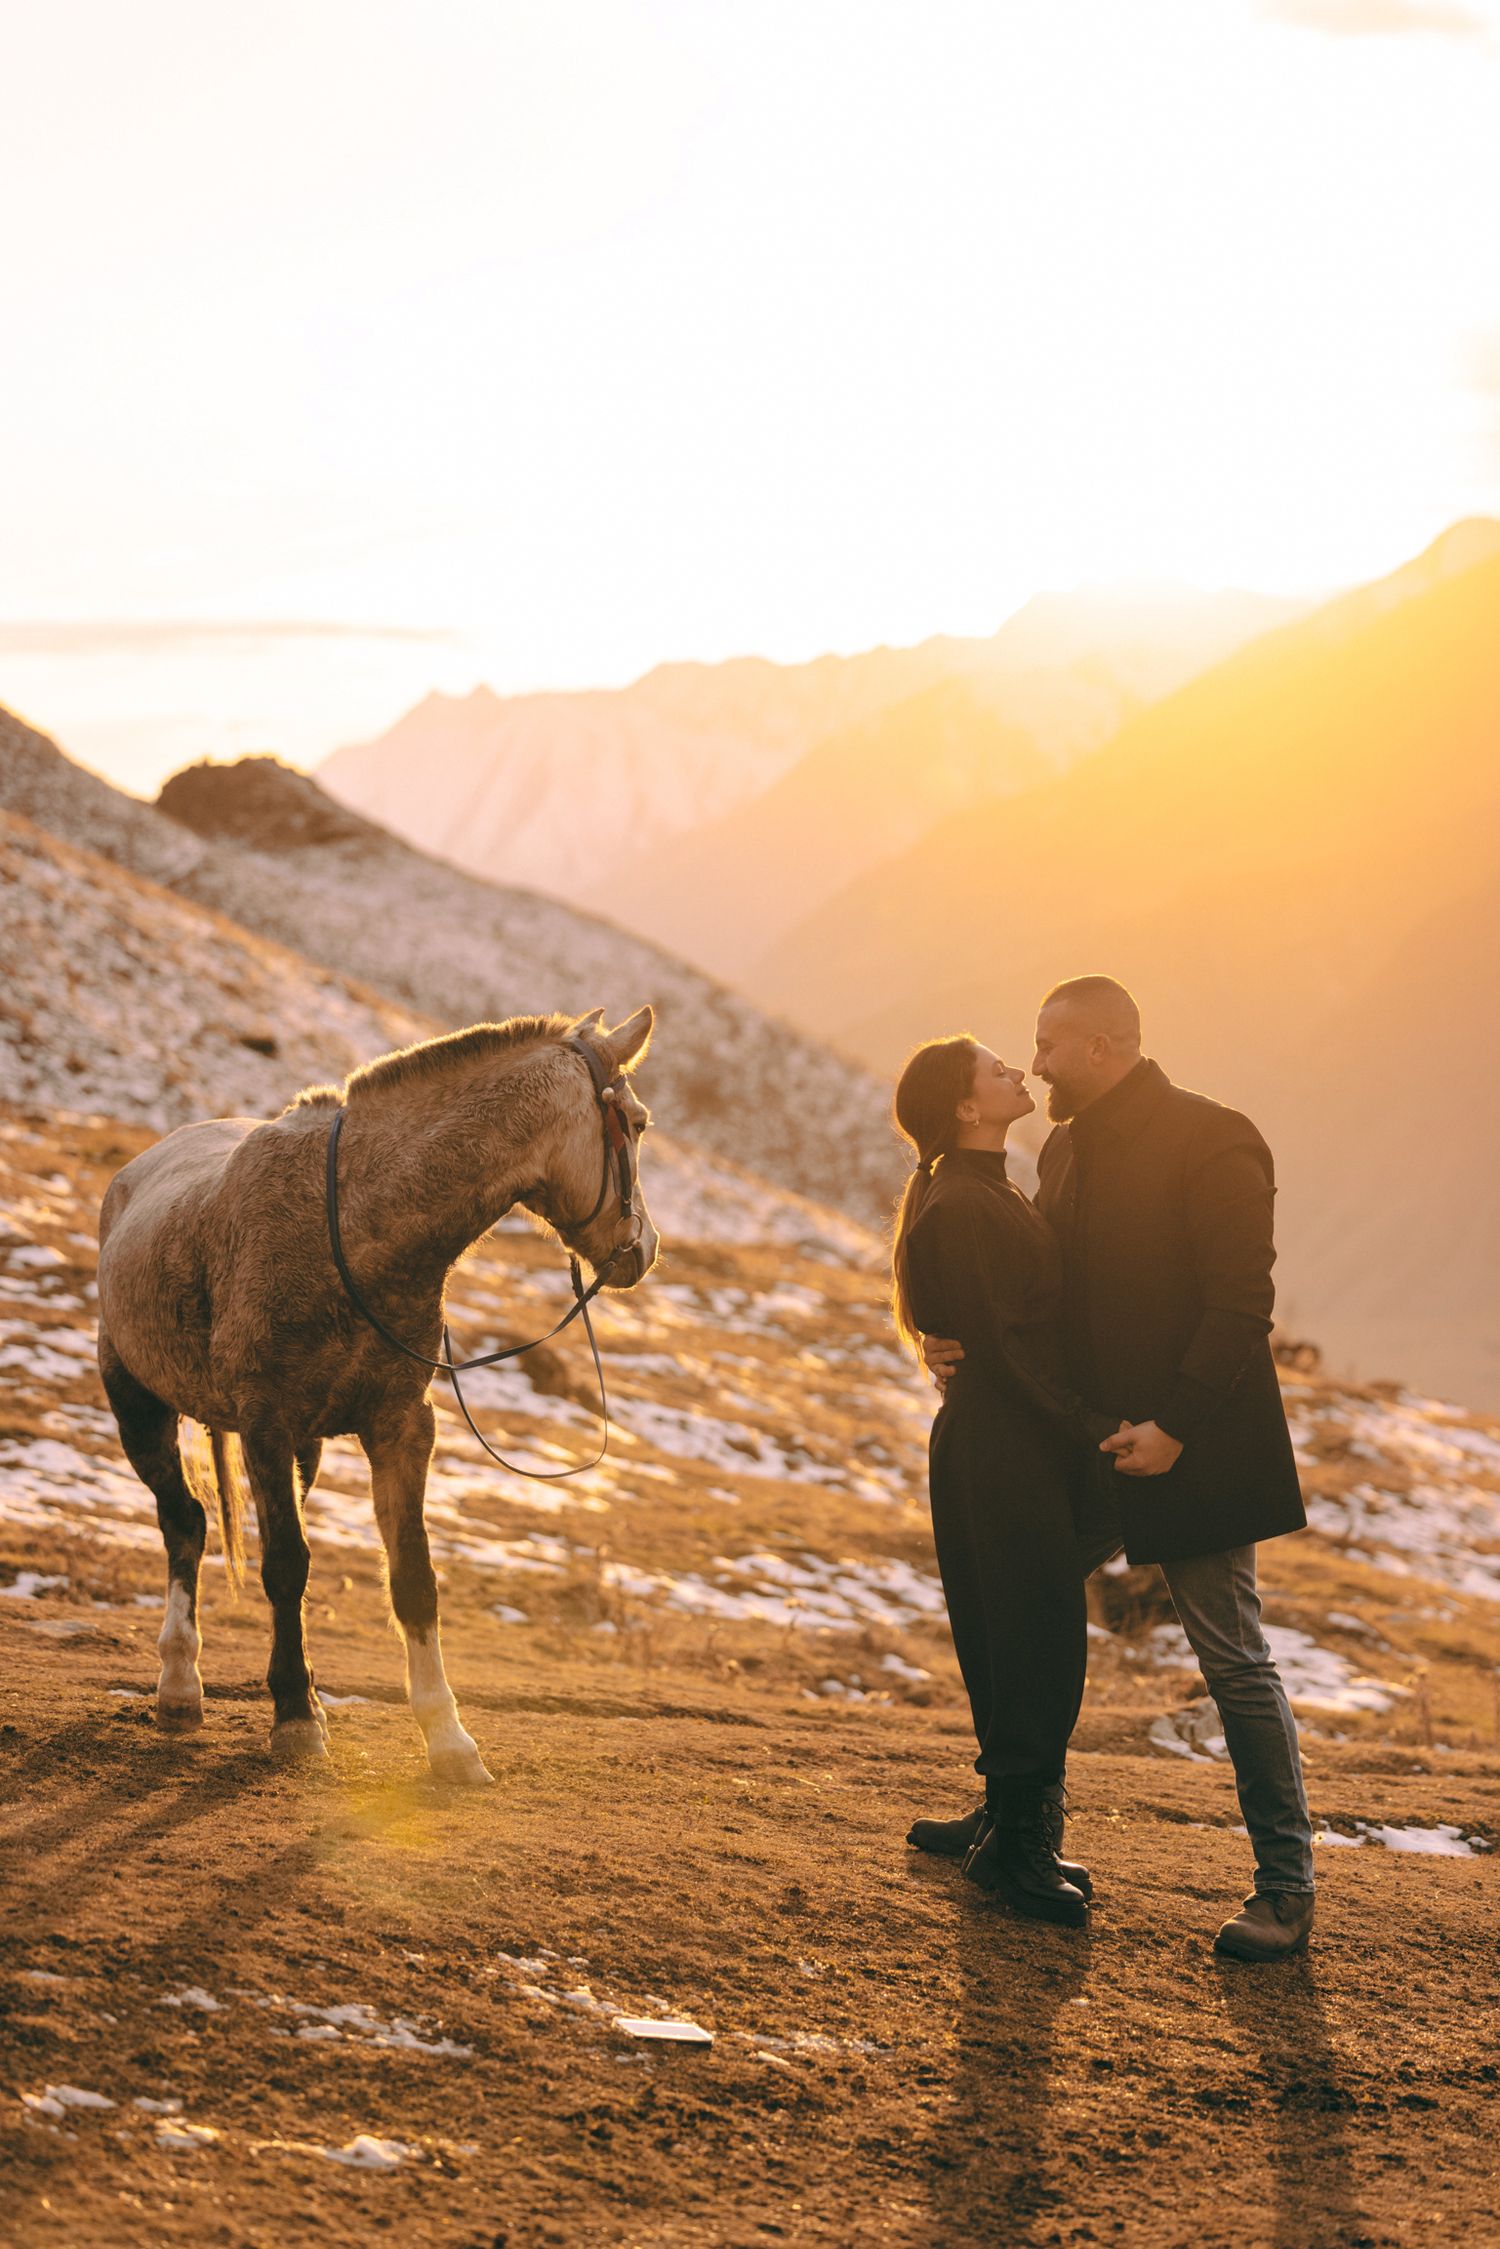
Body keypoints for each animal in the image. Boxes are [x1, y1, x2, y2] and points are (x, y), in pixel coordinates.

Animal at [96, 1006, 657, 1785]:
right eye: (634, 1122)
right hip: (139, 1405)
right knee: (185, 1523)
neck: (356, 1227)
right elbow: (285, 1566)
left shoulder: (399, 1427)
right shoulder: (265, 1424)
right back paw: (181, 1684)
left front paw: (447, 1738)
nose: (647, 1248)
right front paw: (295, 1720)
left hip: (303, 1451)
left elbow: (412, 1577)